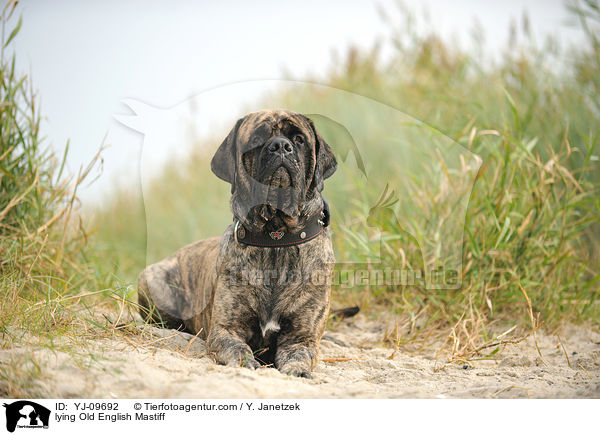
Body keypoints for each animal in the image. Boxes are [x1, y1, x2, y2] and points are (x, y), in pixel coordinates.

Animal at [138, 110, 340, 378]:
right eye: (256, 139)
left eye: (298, 139)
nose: (281, 146)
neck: (276, 237)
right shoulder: (226, 328)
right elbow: (237, 347)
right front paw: (246, 362)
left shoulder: (301, 336)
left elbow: (299, 355)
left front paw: (298, 370)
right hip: (152, 279)